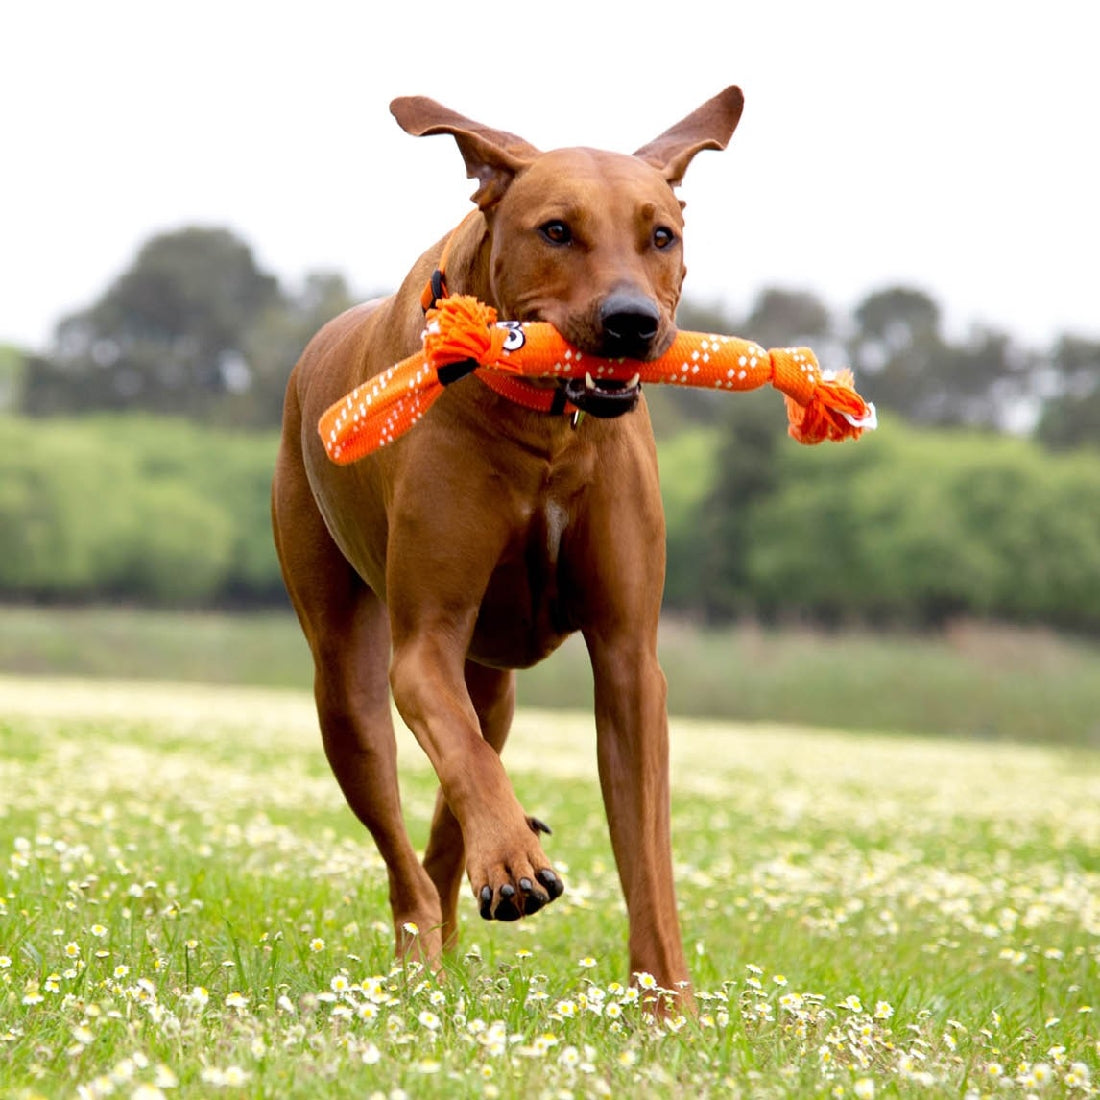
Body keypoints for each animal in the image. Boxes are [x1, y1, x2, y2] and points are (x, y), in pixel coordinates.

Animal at [270, 88, 743, 998]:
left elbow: (647, 859)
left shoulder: (629, 660)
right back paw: (429, 946)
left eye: (661, 235)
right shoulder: (423, 642)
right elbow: (457, 750)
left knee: (457, 792)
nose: (632, 324)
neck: (545, 428)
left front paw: (667, 1006)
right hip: (343, 685)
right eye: (556, 230)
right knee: (410, 844)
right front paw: (515, 865)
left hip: (494, 684)